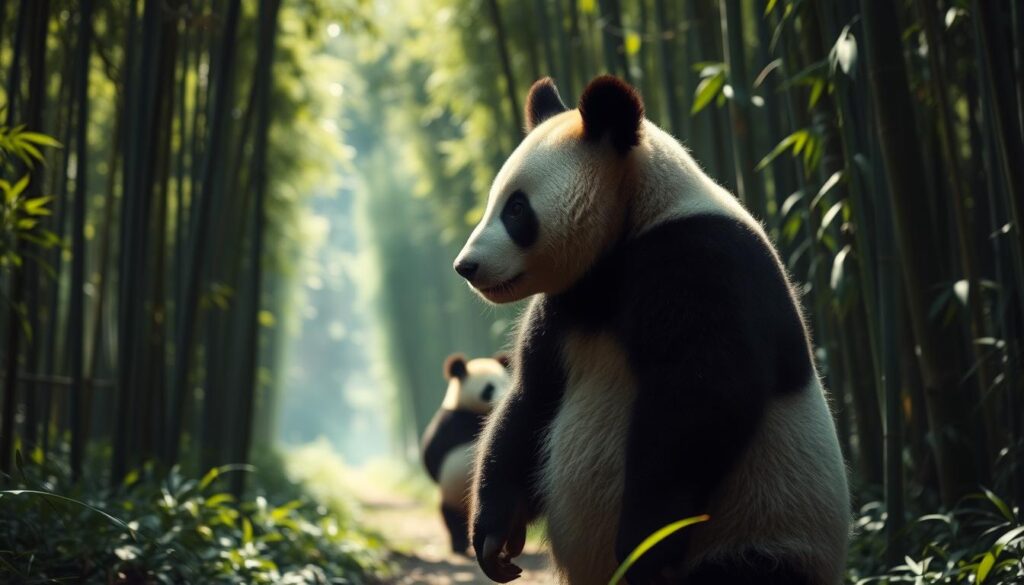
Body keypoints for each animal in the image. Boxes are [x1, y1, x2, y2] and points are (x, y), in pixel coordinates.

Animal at [421, 352, 512, 555]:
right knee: (451, 517)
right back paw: (460, 546)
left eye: (505, 383)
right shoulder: (450, 419)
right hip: (452, 495)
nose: (503, 399)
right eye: (489, 388)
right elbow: (431, 453)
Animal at [452, 76, 850, 584]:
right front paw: (494, 537)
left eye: (517, 210)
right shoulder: (569, 302)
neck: (637, 218)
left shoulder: (701, 258)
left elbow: (699, 402)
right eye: (493, 202)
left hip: (766, 529)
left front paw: (642, 547)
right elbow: (532, 397)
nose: (466, 266)